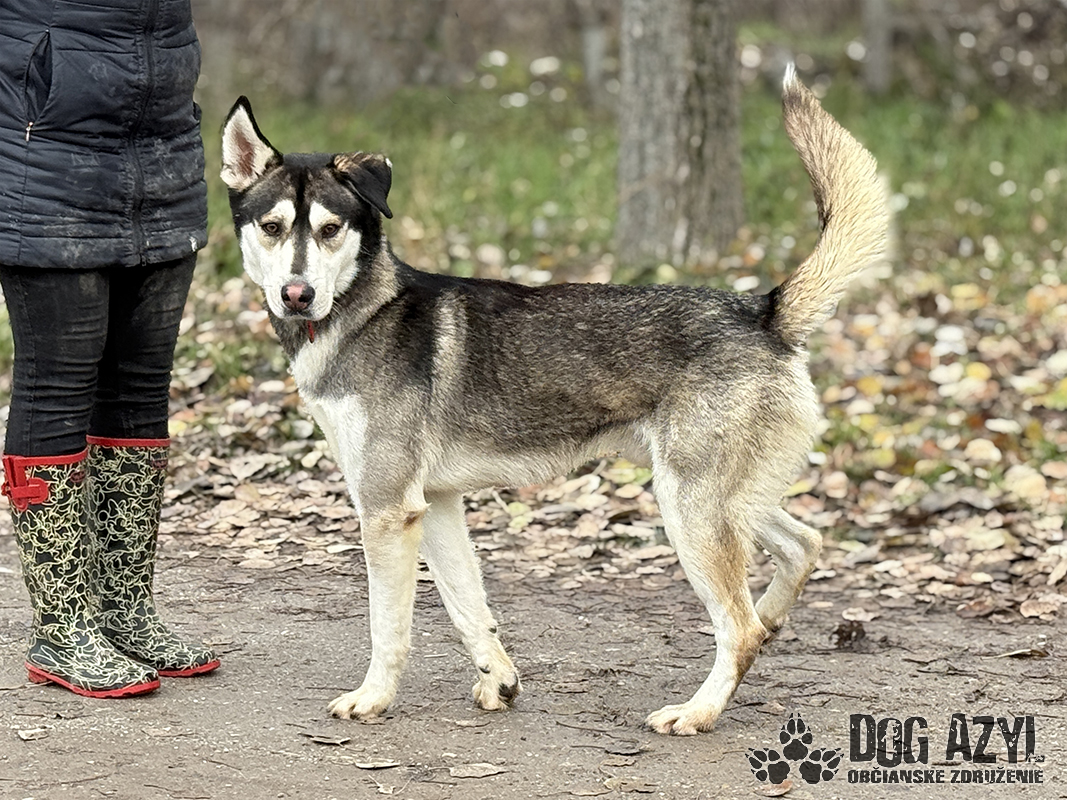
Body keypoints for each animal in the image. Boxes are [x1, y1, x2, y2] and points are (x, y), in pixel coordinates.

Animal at [219, 66, 888, 735]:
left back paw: (698, 710)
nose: (297, 294)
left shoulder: (387, 510)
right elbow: (469, 610)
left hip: (690, 508)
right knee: (802, 548)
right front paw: (499, 682)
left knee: (740, 626)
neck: (365, 310)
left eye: (330, 230)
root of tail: (762, 310)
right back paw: (771, 620)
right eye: (272, 227)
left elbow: (390, 627)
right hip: (722, 500)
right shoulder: (436, 505)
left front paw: (373, 698)